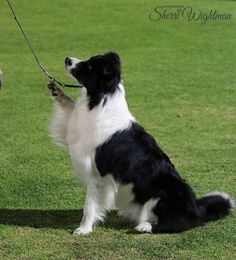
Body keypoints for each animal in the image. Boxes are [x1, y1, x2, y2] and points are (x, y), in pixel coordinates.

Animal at [48, 51, 234, 235]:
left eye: (90, 66)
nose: (67, 59)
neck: (102, 98)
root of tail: (197, 208)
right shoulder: (76, 130)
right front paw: (57, 90)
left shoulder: (97, 171)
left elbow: (90, 203)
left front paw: (84, 229)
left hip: (162, 195)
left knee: (181, 222)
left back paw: (145, 226)